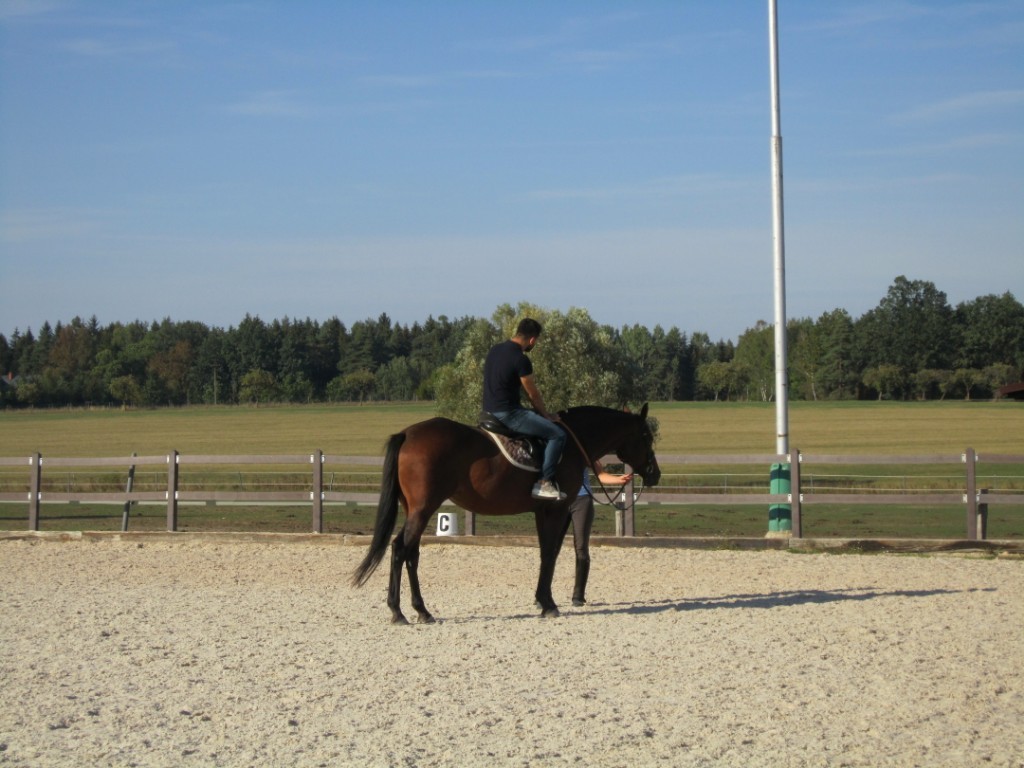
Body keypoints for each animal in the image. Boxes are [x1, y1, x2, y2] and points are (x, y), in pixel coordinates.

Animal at [351, 404, 661, 623]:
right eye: (646, 436)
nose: (654, 474)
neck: (572, 443)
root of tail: (408, 434)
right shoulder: (557, 509)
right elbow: (550, 553)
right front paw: (548, 604)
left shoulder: (542, 511)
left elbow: (547, 552)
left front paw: (541, 600)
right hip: (423, 509)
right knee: (402, 550)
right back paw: (403, 611)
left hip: (415, 510)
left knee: (408, 552)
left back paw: (416, 610)